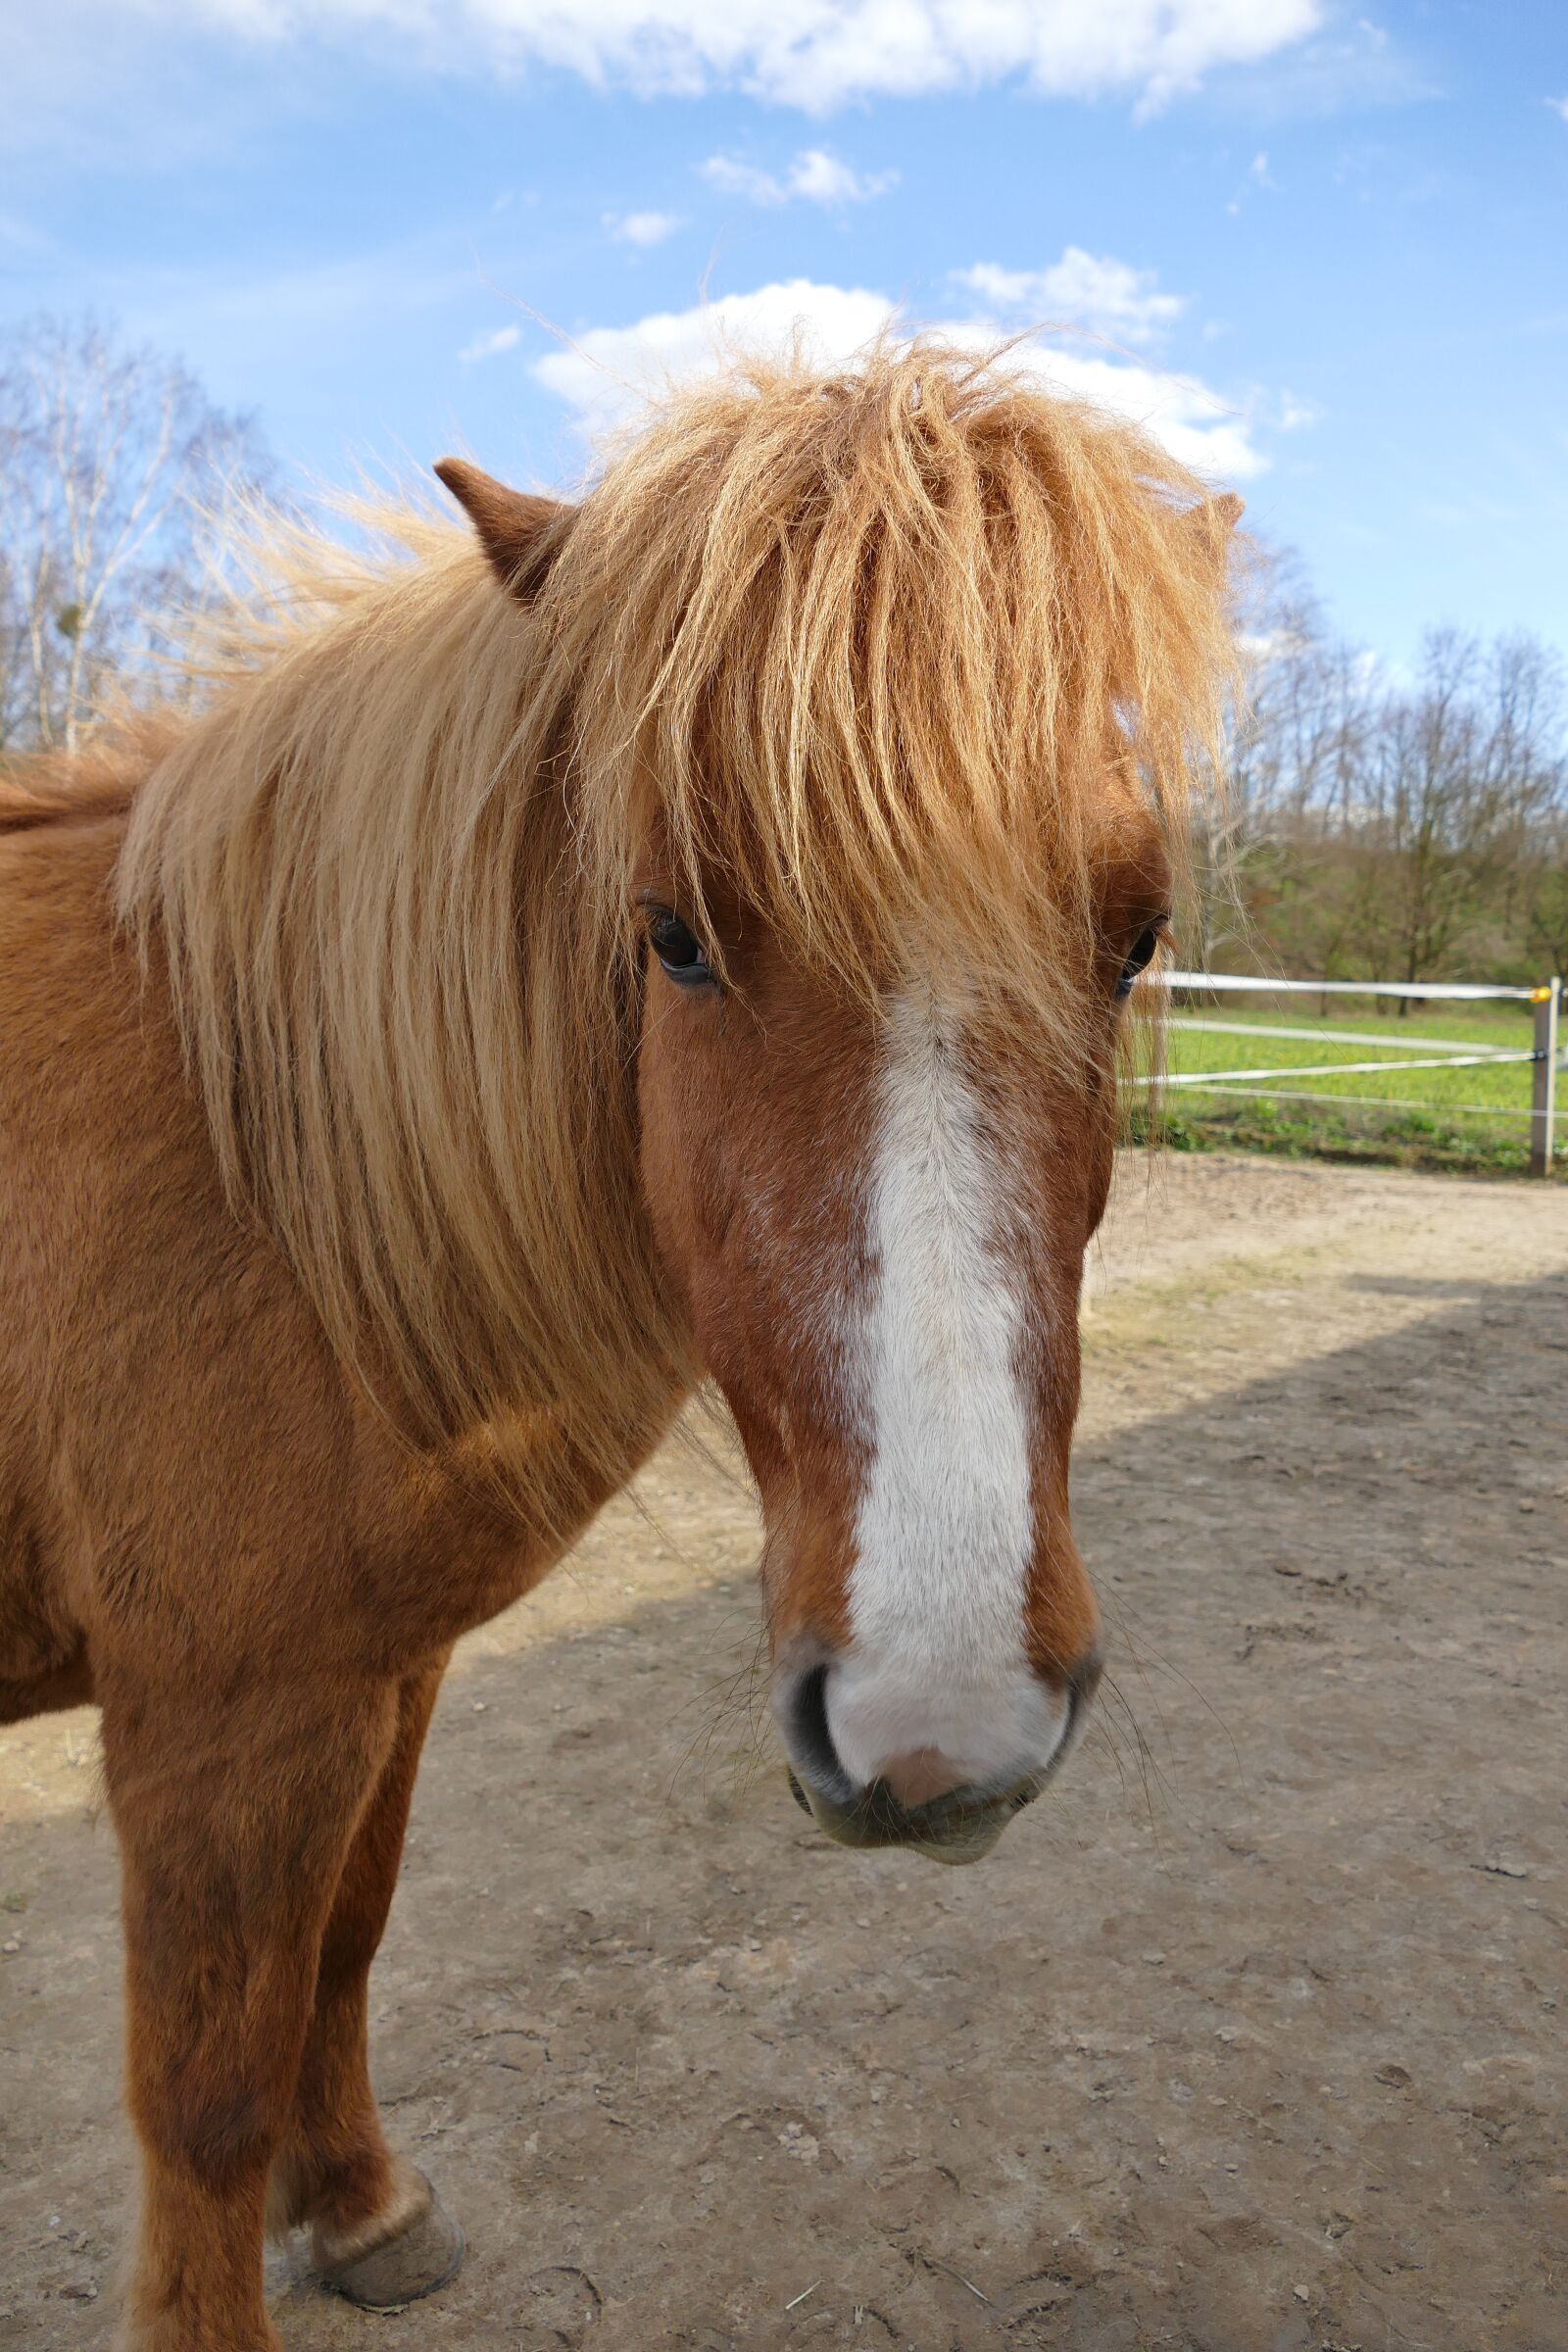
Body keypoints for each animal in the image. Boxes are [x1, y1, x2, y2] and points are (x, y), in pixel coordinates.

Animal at [0, 341, 1239, 2349]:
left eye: (1136, 938)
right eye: (670, 934)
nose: (936, 1727)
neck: (264, 1168)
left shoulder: (381, 1672)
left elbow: (344, 1944)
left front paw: (363, 2209)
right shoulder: (215, 1717)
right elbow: (202, 2093)